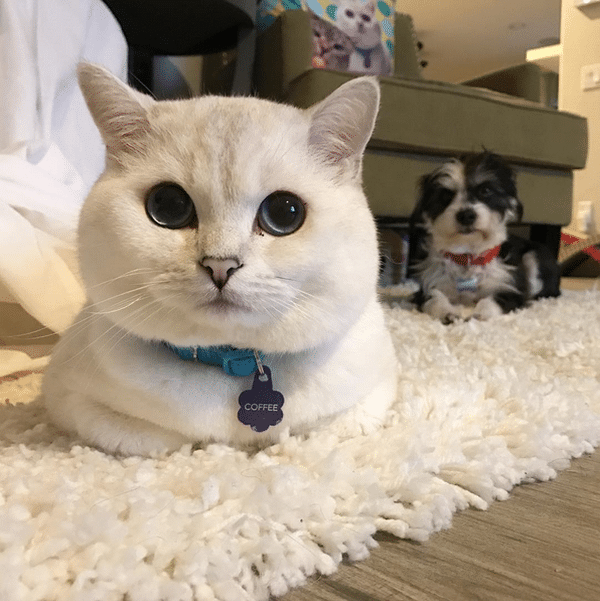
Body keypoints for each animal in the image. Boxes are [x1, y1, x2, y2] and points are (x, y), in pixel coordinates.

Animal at [42, 64, 398, 454]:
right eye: (167, 206)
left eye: (285, 213)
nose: (220, 266)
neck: (235, 364)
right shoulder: (66, 395)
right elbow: (151, 437)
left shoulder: (373, 391)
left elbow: (321, 429)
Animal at [410, 152, 560, 326]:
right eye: (445, 196)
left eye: (486, 190)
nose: (466, 215)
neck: (468, 256)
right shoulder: (427, 288)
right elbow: (435, 299)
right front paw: (448, 313)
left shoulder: (511, 291)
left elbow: (491, 301)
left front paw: (479, 314)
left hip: (534, 258)